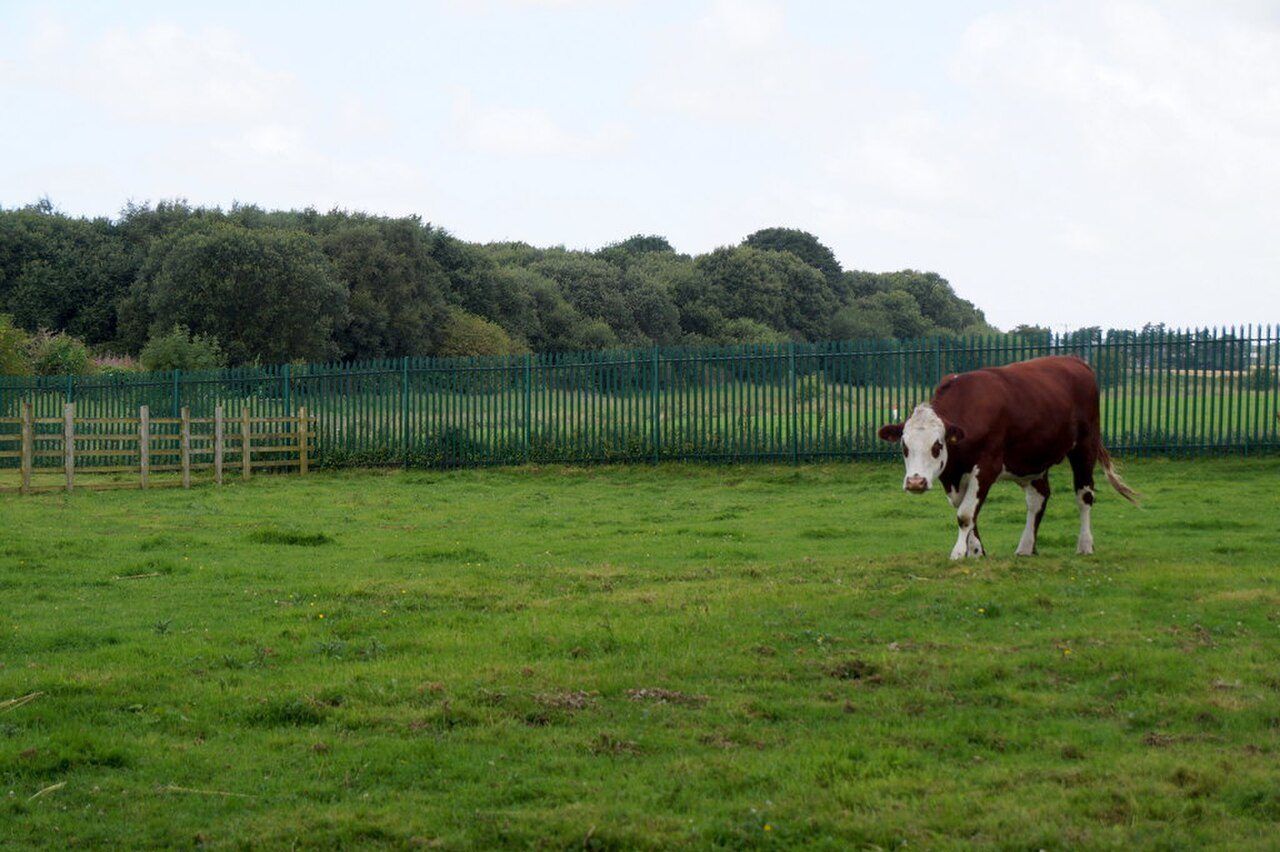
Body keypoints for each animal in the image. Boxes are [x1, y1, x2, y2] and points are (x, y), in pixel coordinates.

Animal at [877, 355, 1137, 559]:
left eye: (937, 445)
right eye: (904, 446)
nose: (916, 482)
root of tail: (1076, 361)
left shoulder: (986, 467)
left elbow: (965, 514)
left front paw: (959, 552)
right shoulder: (952, 475)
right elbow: (968, 512)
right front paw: (976, 551)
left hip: (1084, 447)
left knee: (1084, 496)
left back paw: (1084, 545)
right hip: (1033, 460)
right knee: (1038, 498)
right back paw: (1026, 547)